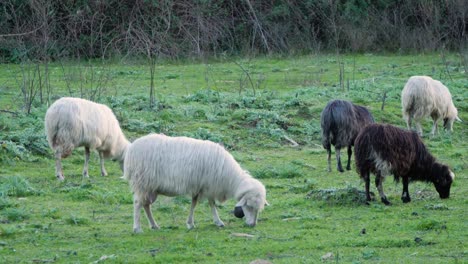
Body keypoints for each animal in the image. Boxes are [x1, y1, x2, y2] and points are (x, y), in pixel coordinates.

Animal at [122, 134, 266, 233]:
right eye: (249, 206)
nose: (253, 225)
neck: (229, 177)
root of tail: (131, 149)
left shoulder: (200, 186)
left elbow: (194, 203)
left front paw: (190, 223)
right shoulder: (208, 185)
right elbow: (210, 204)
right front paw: (218, 221)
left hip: (150, 187)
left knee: (146, 205)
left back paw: (154, 225)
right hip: (142, 182)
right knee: (138, 203)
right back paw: (137, 228)